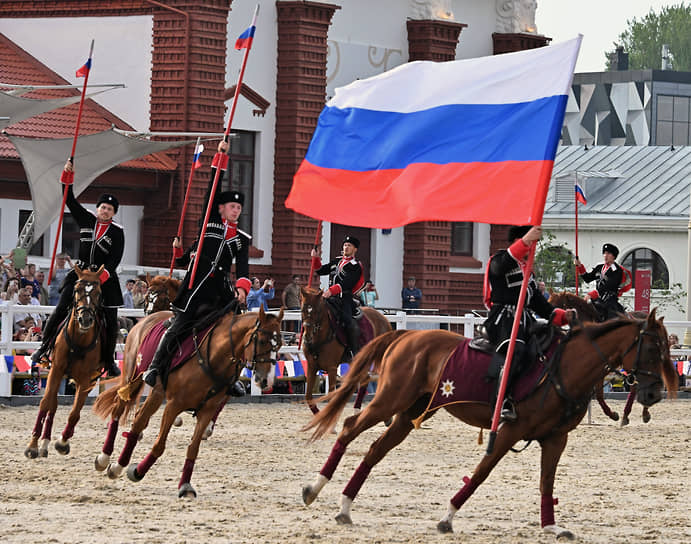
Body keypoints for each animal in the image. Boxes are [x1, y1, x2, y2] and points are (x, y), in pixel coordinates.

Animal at [25, 266, 108, 456]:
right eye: (77, 290)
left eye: (99, 293)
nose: (86, 319)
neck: (79, 341)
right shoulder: (56, 370)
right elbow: (45, 403)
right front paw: (33, 445)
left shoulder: (86, 380)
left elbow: (75, 412)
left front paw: (62, 442)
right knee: (52, 404)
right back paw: (44, 442)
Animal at [93, 306, 282, 498]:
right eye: (262, 341)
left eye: (280, 344)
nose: (266, 380)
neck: (213, 358)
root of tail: (145, 320)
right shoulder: (174, 405)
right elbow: (159, 445)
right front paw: (138, 471)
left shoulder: (207, 410)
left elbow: (193, 448)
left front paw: (185, 485)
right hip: (133, 378)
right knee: (122, 412)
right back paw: (109, 461)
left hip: (156, 393)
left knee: (139, 420)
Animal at [300, 286, 392, 414]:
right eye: (302, 309)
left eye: (317, 311)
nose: (307, 337)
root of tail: (384, 319)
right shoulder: (312, 366)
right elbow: (308, 397)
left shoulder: (332, 368)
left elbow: (331, 397)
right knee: (365, 380)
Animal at [302, 308, 676, 536]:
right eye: (652, 349)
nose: (654, 393)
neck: (564, 367)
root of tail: (405, 336)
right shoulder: (510, 431)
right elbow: (481, 473)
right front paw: (448, 516)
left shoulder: (556, 438)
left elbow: (547, 483)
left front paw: (551, 526)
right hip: (389, 401)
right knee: (349, 429)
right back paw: (314, 488)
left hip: (408, 414)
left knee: (375, 451)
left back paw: (345, 506)